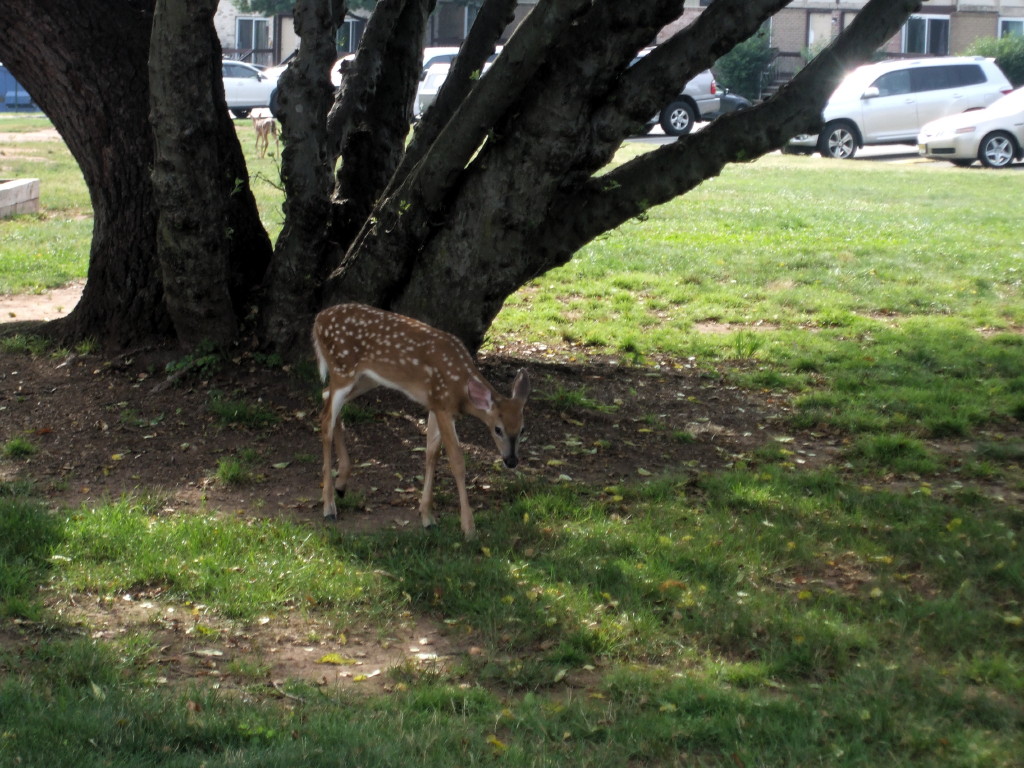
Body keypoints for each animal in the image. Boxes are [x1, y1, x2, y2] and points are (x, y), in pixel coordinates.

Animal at [313, 303, 532, 540]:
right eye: (498, 429)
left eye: (522, 429)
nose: (511, 460)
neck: (461, 389)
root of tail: (318, 320)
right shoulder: (443, 406)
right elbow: (457, 461)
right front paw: (468, 528)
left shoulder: (434, 404)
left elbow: (431, 453)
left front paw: (427, 517)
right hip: (342, 368)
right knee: (325, 419)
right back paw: (329, 507)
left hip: (366, 378)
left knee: (325, 397)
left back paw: (341, 484)